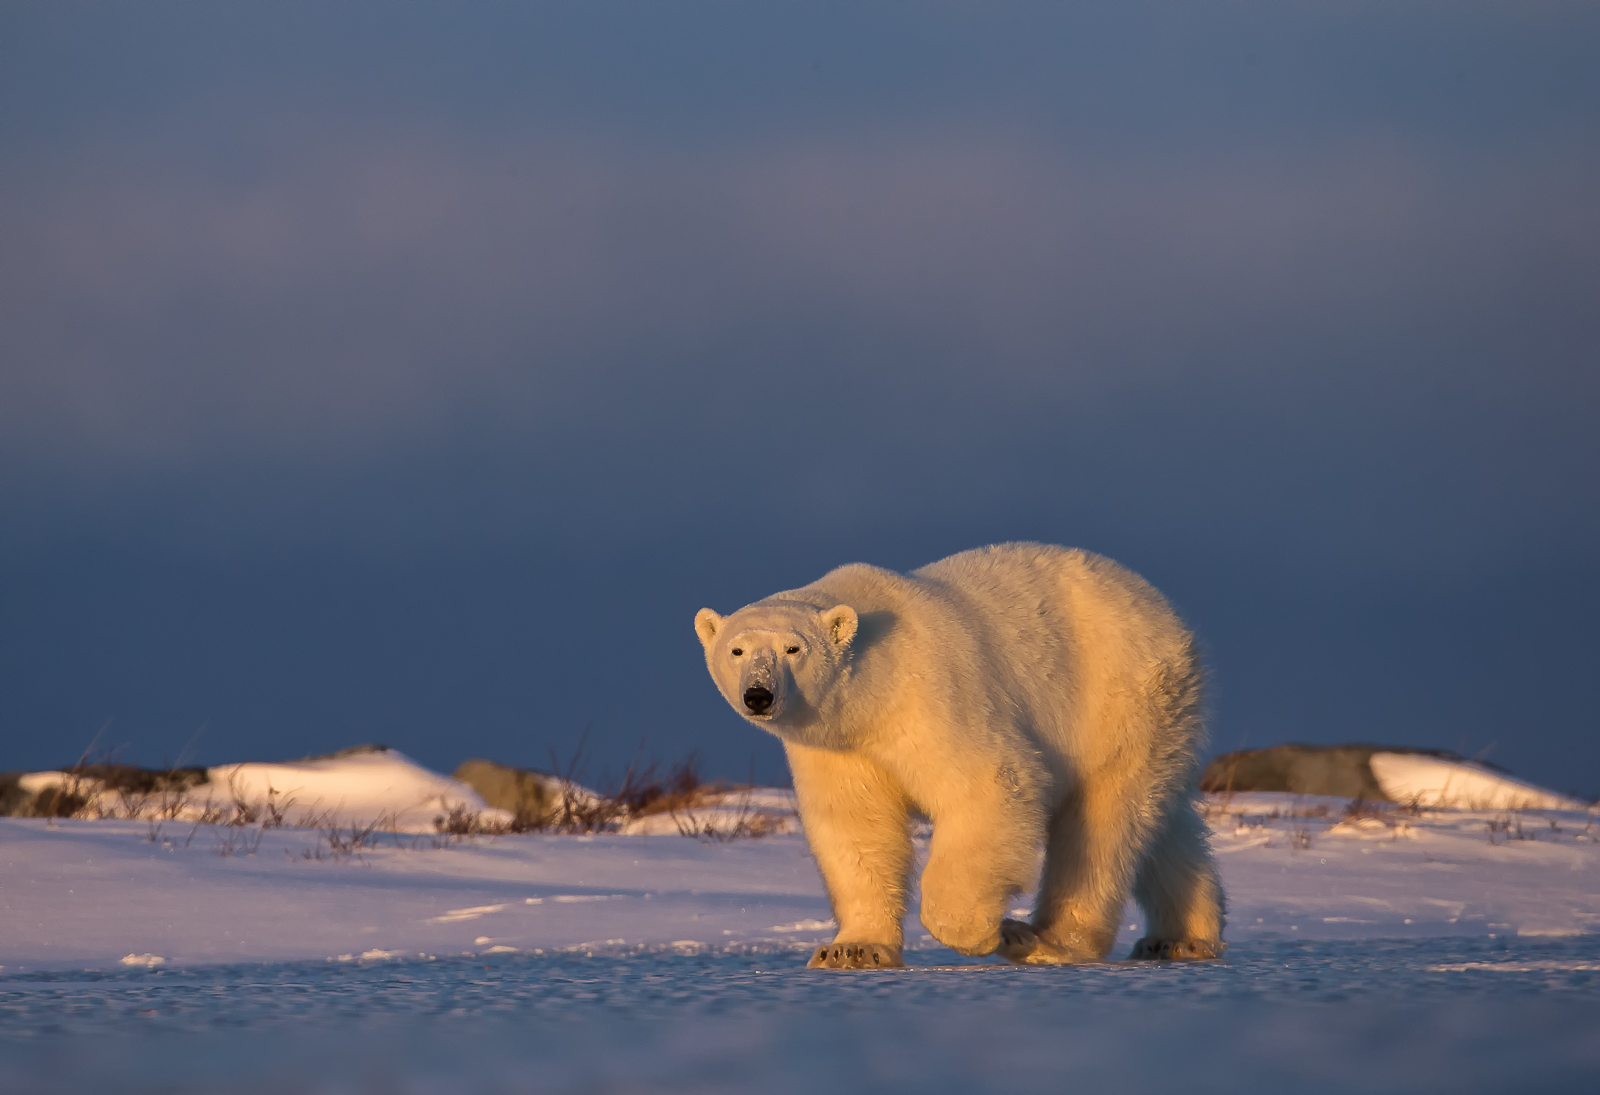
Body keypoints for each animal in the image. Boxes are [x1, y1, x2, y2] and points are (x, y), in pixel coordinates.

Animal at [694, 544, 1228, 973]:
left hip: (1116, 698)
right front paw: (851, 950)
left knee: (1101, 824)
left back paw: (1043, 940)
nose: (758, 695)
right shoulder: (838, 745)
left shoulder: (932, 694)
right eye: (737, 650)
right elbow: (855, 825)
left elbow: (990, 786)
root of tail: (1162, 609)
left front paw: (979, 932)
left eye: (793, 648)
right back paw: (1181, 938)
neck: (872, 691)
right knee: (1160, 824)